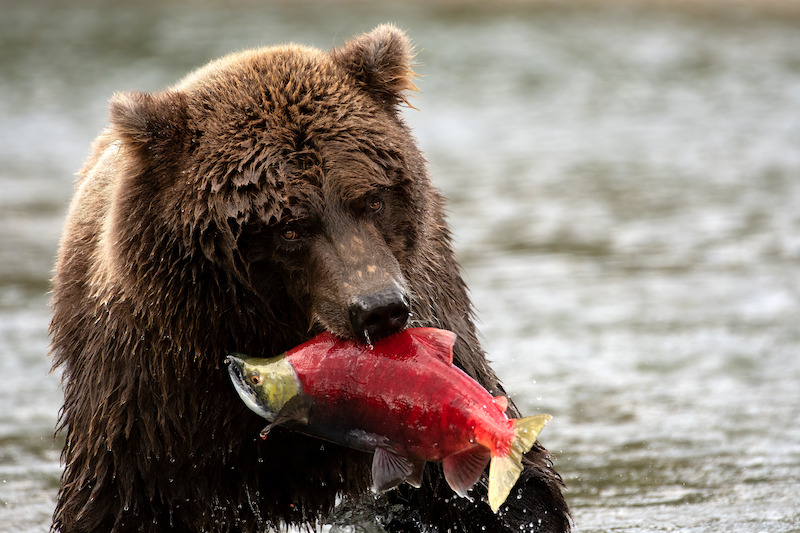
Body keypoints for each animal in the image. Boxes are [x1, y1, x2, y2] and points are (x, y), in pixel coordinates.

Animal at [50, 24, 570, 533]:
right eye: (290, 227)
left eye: (373, 200)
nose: (380, 308)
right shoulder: (151, 394)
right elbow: (123, 502)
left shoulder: (431, 361)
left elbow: (503, 496)